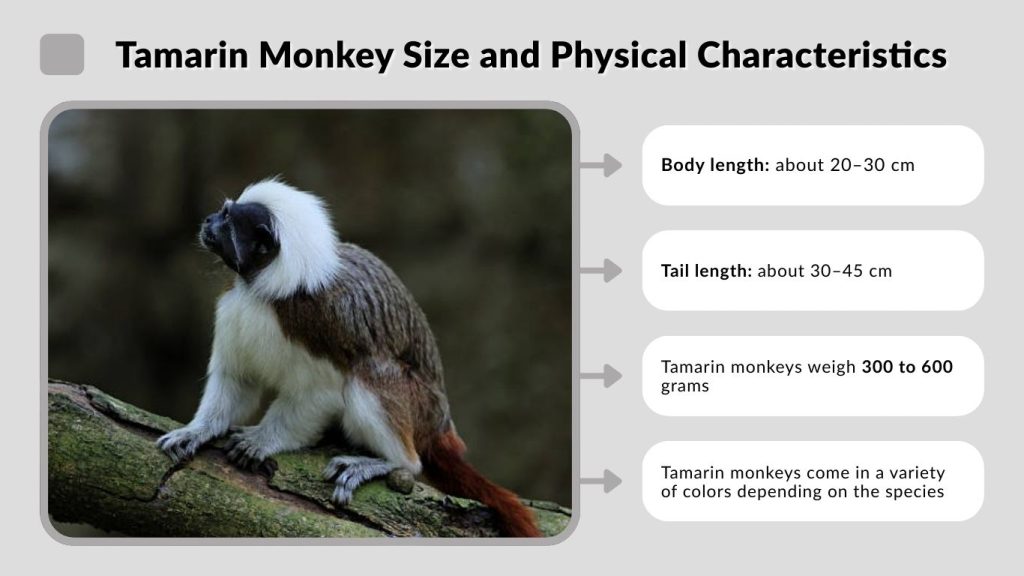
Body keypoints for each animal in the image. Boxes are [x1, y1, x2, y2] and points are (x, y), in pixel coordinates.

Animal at [156, 178, 540, 537]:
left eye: (226, 219)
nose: (207, 221)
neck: (270, 290)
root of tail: (440, 425)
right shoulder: (234, 306)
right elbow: (238, 379)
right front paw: (199, 430)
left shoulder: (319, 326)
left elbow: (321, 393)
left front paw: (263, 440)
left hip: (418, 406)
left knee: (371, 379)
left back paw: (390, 462)